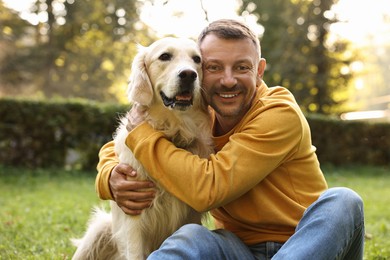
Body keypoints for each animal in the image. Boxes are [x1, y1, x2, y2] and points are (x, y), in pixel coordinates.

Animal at [72, 37, 213, 260]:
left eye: (197, 59)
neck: (172, 130)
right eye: (165, 56)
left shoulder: (189, 216)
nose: (189, 74)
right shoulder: (134, 218)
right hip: (99, 231)